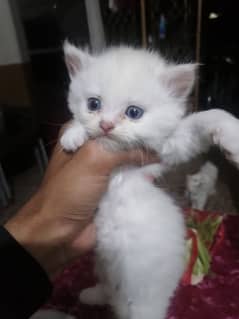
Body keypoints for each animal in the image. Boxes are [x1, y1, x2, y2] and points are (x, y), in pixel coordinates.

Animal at [48, 44, 239, 319]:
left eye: (133, 113)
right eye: (93, 104)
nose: (106, 125)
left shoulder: (170, 148)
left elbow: (207, 117)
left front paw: (232, 135)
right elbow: (76, 124)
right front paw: (74, 134)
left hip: (145, 299)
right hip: (102, 267)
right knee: (106, 289)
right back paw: (91, 295)